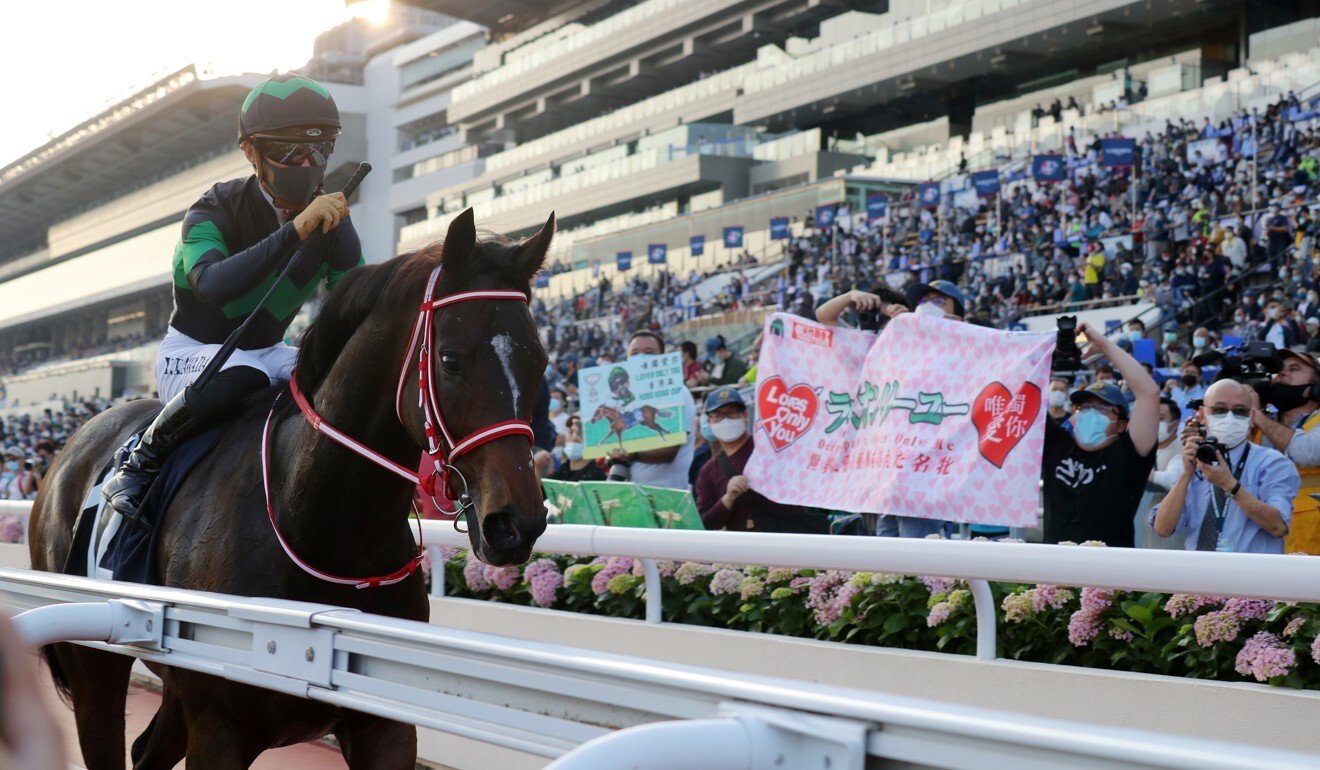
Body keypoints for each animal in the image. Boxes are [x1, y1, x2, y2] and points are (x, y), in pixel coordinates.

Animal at [27, 206, 551, 770]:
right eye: (451, 360)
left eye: (540, 360)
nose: (516, 522)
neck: (318, 522)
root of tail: (69, 450)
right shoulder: (219, 724)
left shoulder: (384, 726)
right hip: (92, 663)